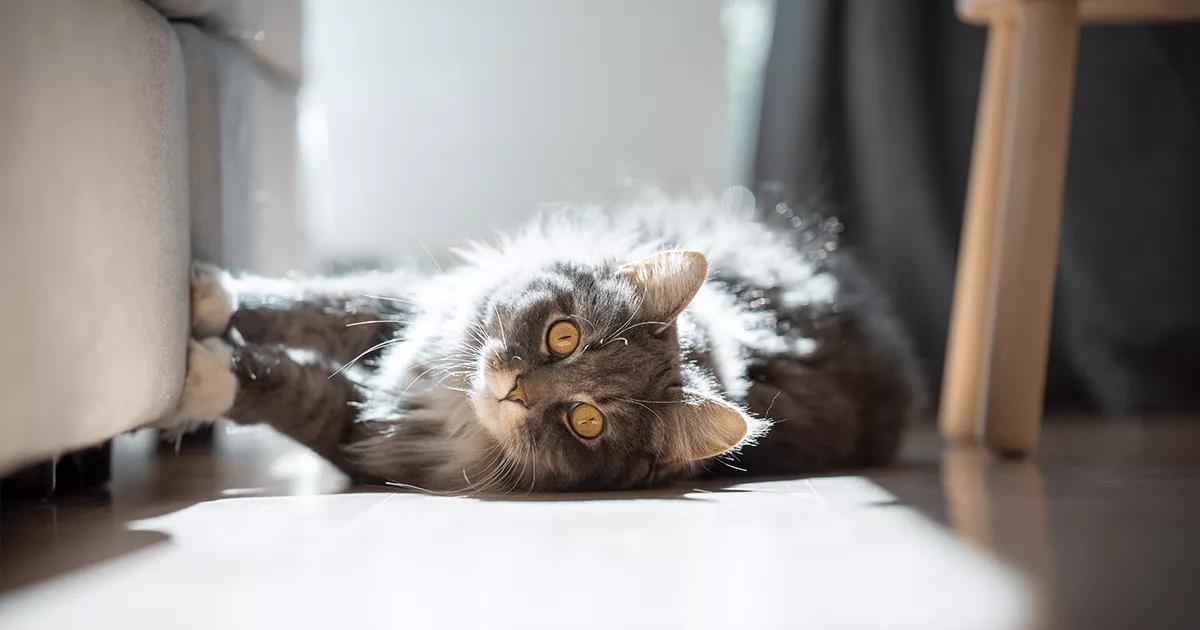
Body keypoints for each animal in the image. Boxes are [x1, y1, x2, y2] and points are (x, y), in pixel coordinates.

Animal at [174, 192, 926, 492]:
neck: (450, 404)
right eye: (563, 335)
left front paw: (195, 376)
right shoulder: (404, 314)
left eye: (586, 421)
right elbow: (308, 303)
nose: (512, 389)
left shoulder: (366, 436)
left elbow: (285, 386)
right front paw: (204, 298)